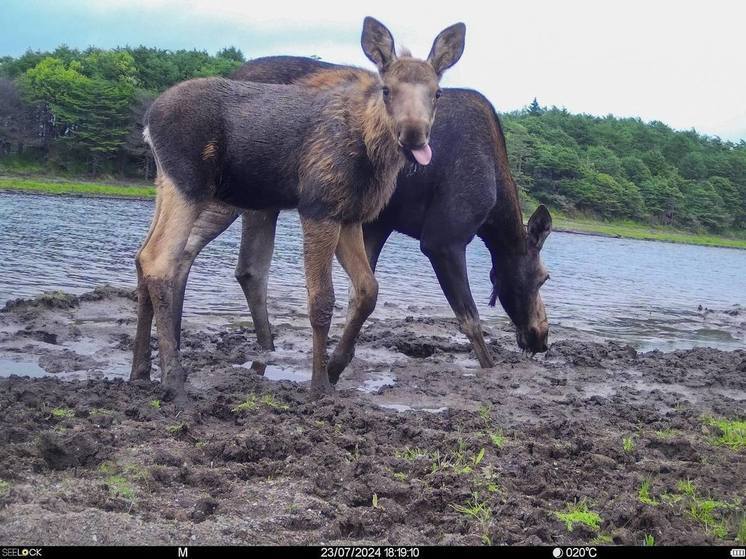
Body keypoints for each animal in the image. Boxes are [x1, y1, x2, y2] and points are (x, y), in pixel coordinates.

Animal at [129, 17, 464, 400]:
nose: (413, 135)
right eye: (387, 89)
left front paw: (336, 367)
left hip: (167, 184)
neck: (372, 154)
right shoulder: (318, 208)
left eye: (437, 93)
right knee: (160, 261)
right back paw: (173, 379)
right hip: (191, 185)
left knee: (142, 257)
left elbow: (367, 291)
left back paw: (140, 370)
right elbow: (322, 299)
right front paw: (319, 383)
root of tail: (149, 119)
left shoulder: (349, 216)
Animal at [228, 58, 552, 376]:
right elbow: (470, 319)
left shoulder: (377, 224)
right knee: (247, 268)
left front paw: (339, 361)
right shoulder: (442, 240)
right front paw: (490, 368)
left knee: (248, 268)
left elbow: (358, 294)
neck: (493, 218)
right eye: (543, 278)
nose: (542, 338)